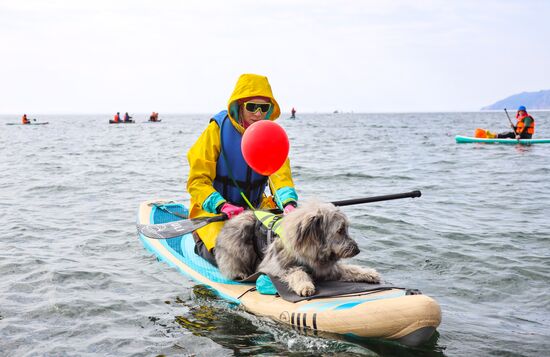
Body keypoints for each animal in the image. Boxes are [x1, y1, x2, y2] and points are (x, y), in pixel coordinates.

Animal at [215, 200, 380, 294]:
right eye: (340, 230)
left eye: (346, 228)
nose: (357, 249)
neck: (311, 247)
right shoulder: (276, 266)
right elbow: (297, 272)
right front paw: (305, 286)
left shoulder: (327, 269)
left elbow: (350, 269)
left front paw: (369, 273)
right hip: (239, 247)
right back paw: (240, 274)